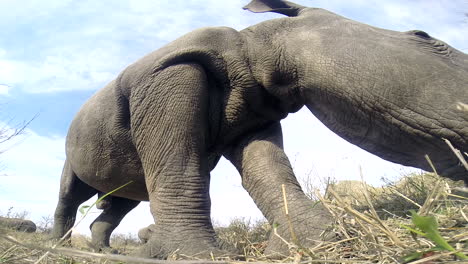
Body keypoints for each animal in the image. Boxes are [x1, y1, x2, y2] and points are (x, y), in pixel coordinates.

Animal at [51, 0, 468, 260]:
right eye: (423, 35)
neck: (259, 53)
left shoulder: (256, 111)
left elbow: (270, 174)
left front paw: (326, 239)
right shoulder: (171, 72)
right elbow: (178, 168)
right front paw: (195, 256)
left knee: (123, 198)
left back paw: (103, 251)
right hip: (78, 139)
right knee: (72, 190)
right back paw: (58, 247)